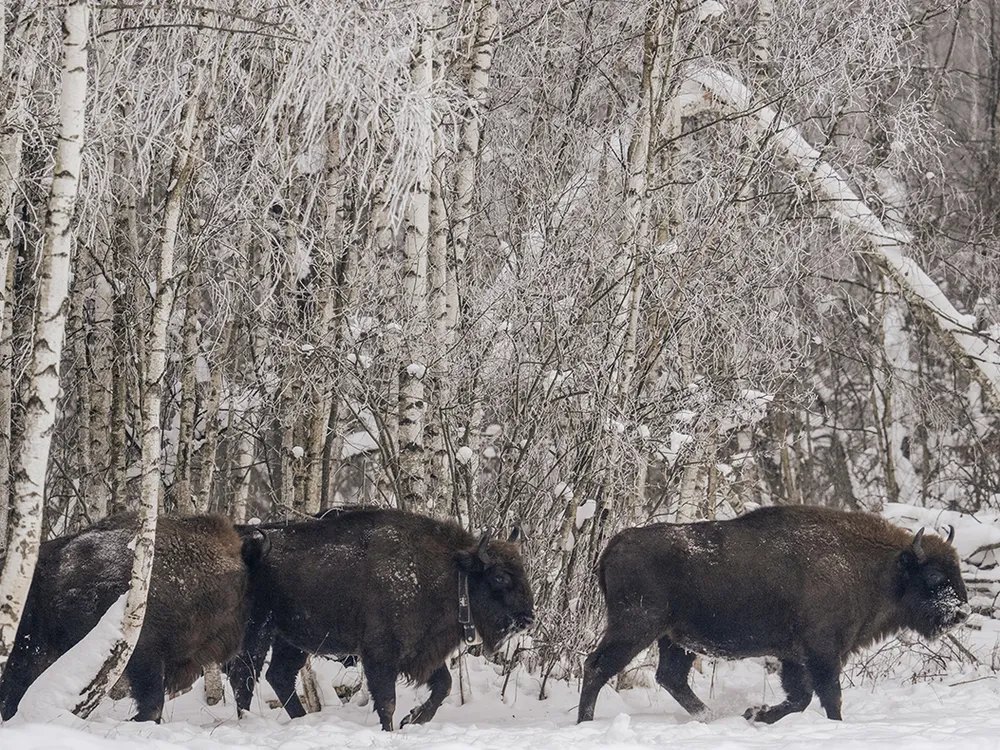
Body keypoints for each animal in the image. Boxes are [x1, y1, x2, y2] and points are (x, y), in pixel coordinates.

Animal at [228, 508, 534, 730]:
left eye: (522, 571)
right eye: (500, 577)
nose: (527, 619)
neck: (452, 574)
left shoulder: (422, 651)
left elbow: (443, 686)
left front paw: (412, 719)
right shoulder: (381, 655)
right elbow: (387, 700)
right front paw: (392, 728)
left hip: (290, 640)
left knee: (278, 675)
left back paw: (301, 719)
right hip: (257, 631)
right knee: (244, 676)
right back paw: (247, 724)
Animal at [577, 505, 969, 724]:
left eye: (957, 570)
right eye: (935, 578)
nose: (962, 611)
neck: (873, 568)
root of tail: (616, 543)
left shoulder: (794, 657)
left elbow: (801, 697)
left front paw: (756, 714)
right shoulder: (823, 654)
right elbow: (828, 695)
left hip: (674, 639)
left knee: (670, 678)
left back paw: (710, 717)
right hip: (634, 627)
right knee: (597, 667)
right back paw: (585, 723)